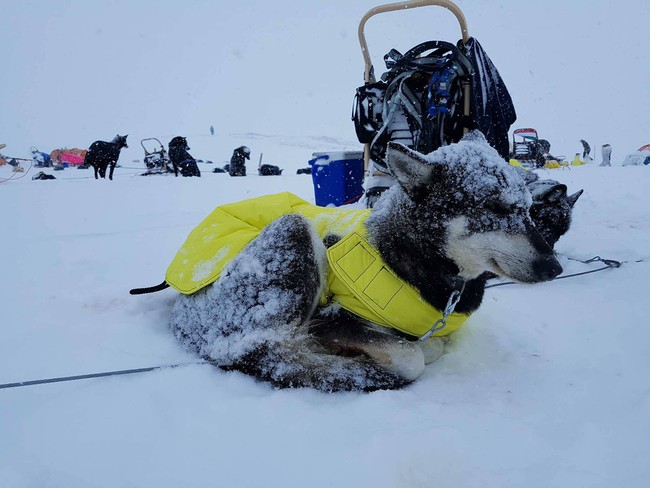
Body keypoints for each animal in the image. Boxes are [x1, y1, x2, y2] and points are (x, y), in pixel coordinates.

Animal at [166, 132, 560, 390]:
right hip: (294, 232)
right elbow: (412, 355)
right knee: (261, 350)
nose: (554, 268)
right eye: (495, 207)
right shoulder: (332, 320)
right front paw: (414, 350)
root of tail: (181, 313)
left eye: (528, 208)